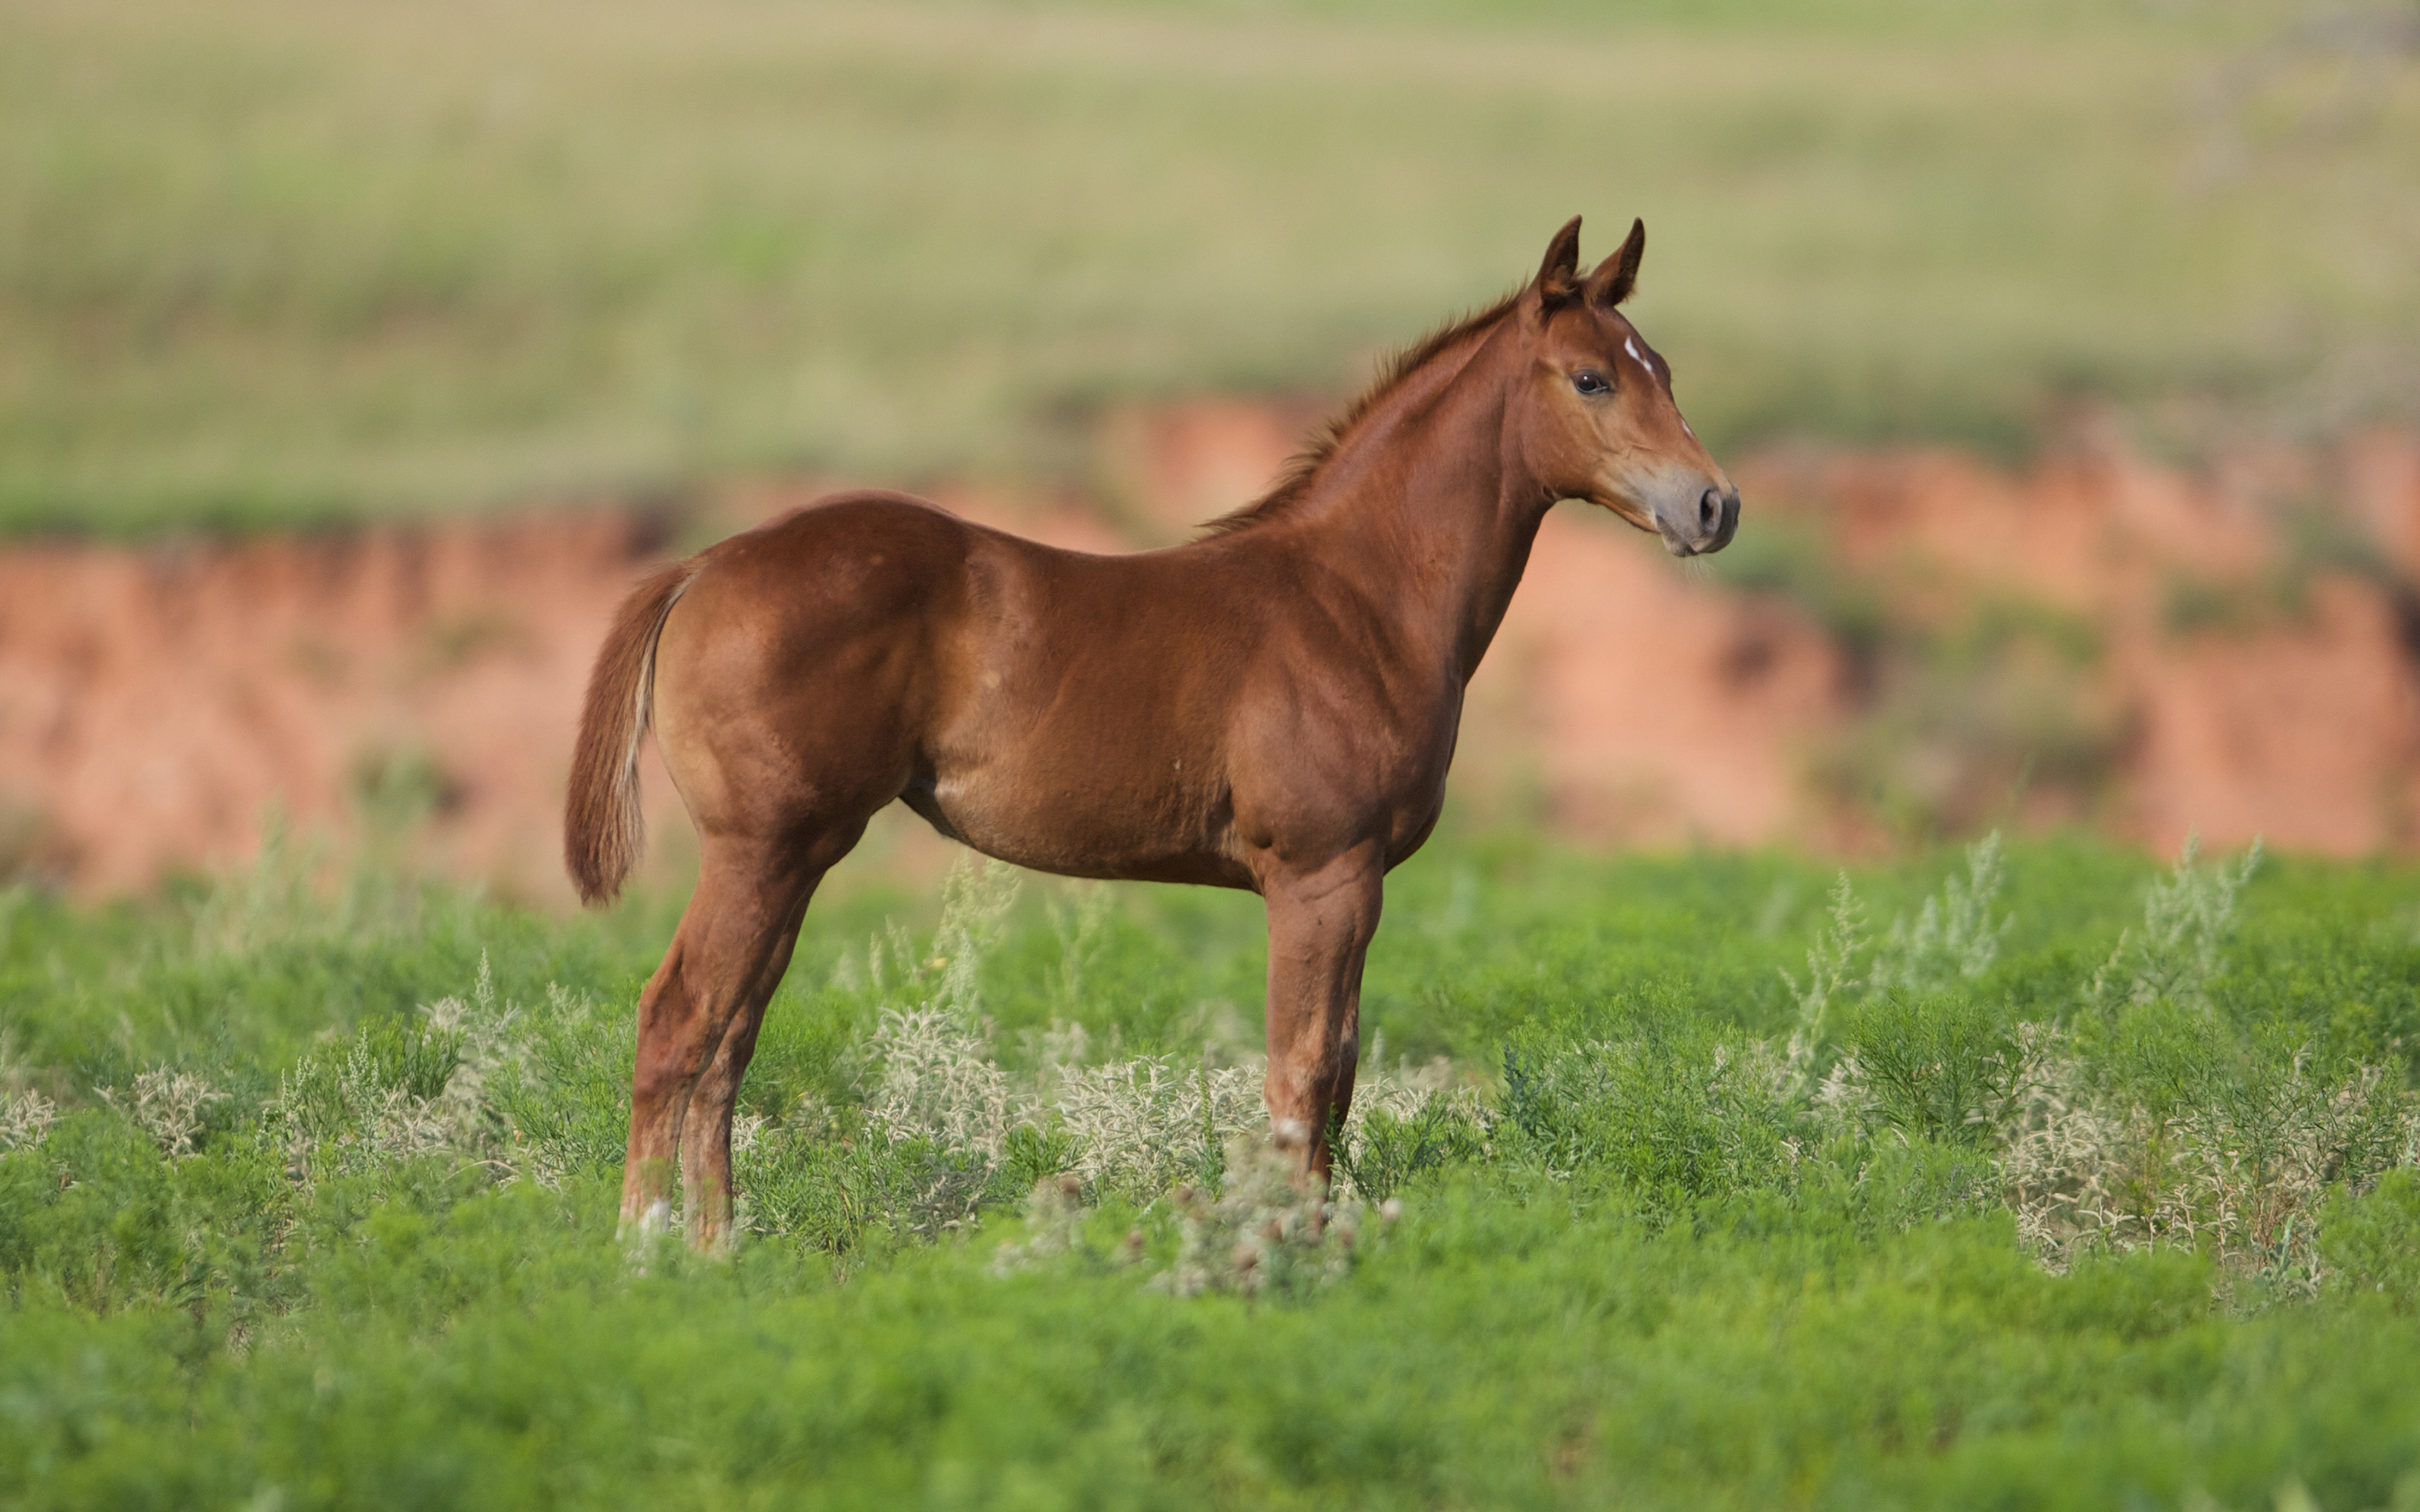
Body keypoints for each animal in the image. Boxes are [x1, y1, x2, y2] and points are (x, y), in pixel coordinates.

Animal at [566, 215, 1742, 1248]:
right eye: (1591, 378)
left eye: (1664, 368)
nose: (1714, 506)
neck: (1354, 600)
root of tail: (703, 566)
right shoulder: (1321, 874)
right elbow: (1305, 1071)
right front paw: (1285, 1245)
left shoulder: (1353, 883)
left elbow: (1341, 1072)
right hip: (760, 848)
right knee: (677, 1022)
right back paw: (645, 1252)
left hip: (796, 855)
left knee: (729, 1039)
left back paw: (722, 1253)